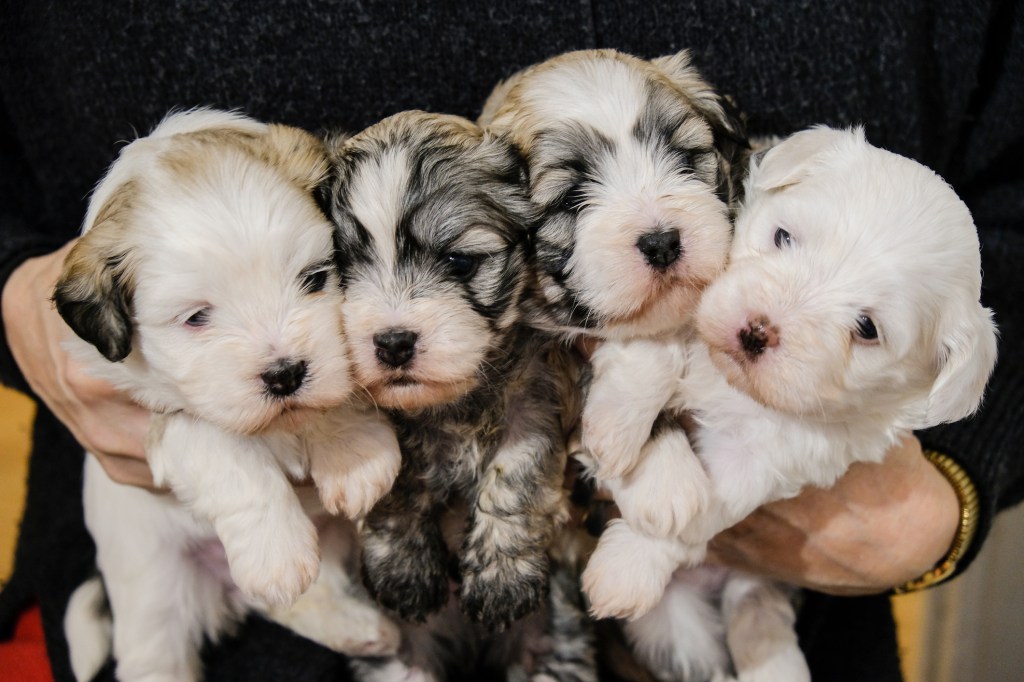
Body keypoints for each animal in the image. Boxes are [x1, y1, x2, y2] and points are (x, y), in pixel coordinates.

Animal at [54, 109, 401, 675]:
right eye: (197, 317)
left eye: (314, 278)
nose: (284, 374)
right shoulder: (159, 413)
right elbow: (223, 449)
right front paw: (275, 550)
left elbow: (326, 400)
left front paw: (354, 454)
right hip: (152, 588)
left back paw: (361, 628)